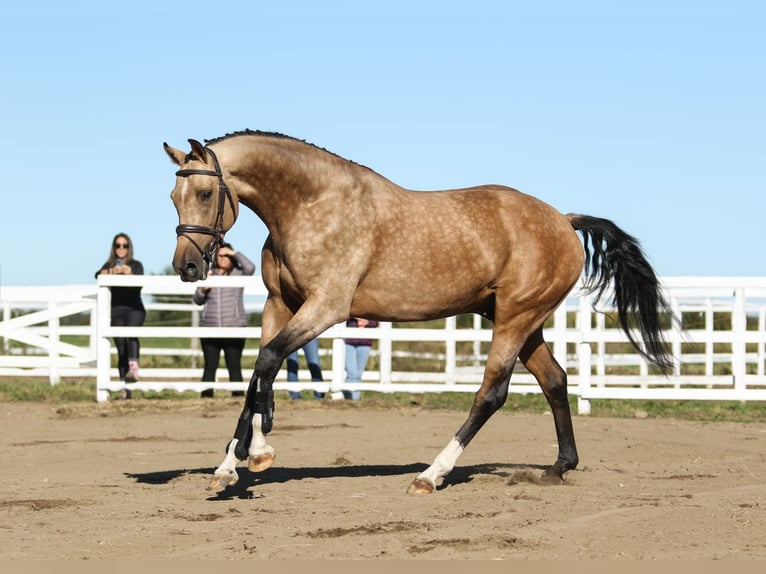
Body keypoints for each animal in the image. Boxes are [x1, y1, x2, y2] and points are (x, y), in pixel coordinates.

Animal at [164, 129, 673, 494]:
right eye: (174, 198)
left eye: (206, 194)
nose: (187, 267)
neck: (311, 204)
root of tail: (564, 221)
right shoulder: (278, 305)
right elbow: (256, 375)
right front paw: (232, 464)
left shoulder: (326, 308)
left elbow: (267, 364)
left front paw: (257, 452)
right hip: (523, 321)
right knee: (555, 381)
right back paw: (558, 468)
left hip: (516, 317)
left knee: (491, 393)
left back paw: (431, 475)